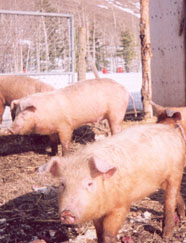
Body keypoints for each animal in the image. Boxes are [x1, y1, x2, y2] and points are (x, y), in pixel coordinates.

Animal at [39, 123, 186, 243]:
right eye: (62, 184)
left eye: (90, 183)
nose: (67, 213)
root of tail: (172, 130)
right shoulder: (97, 212)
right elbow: (99, 232)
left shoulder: (121, 206)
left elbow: (108, 233)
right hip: (163, 179)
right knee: (176, 194)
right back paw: (182, 215)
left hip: (175, 172)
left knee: (170, 200)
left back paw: (166, 235)